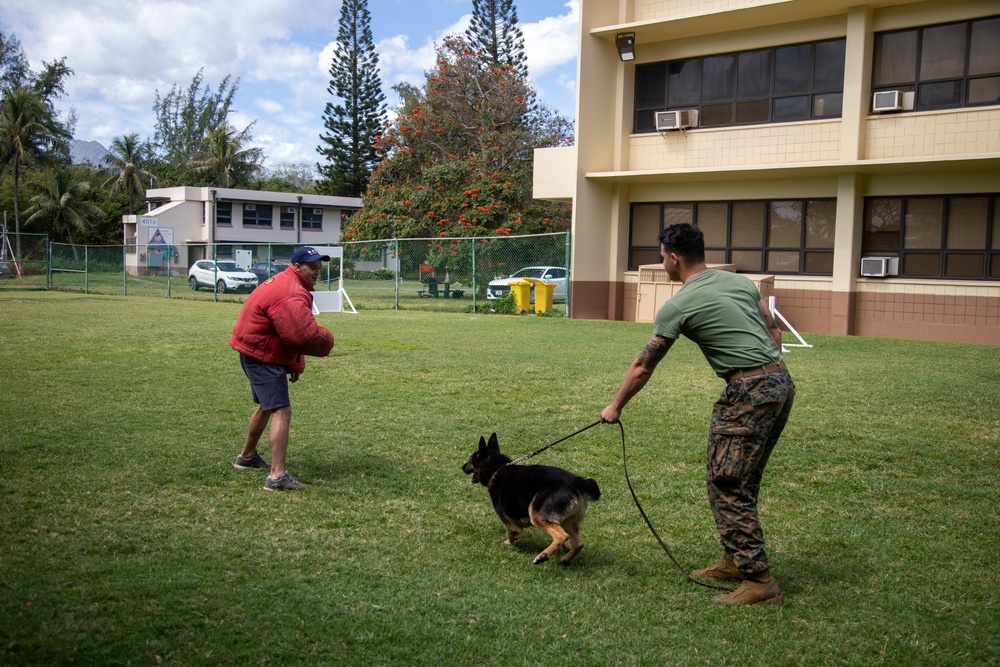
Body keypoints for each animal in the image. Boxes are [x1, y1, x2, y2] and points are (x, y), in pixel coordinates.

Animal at [462, 434, 600, 564]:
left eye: (470, 461)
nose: (462, 467)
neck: (497, 468)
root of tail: (577, 482)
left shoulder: (510, 522)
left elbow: (511, 532)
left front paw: (510, 542)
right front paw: (566, 548)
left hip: (536, 514)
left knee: (562, 536)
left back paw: (543, 556)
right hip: (567, 521)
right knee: (578, 543)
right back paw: (565, 559)